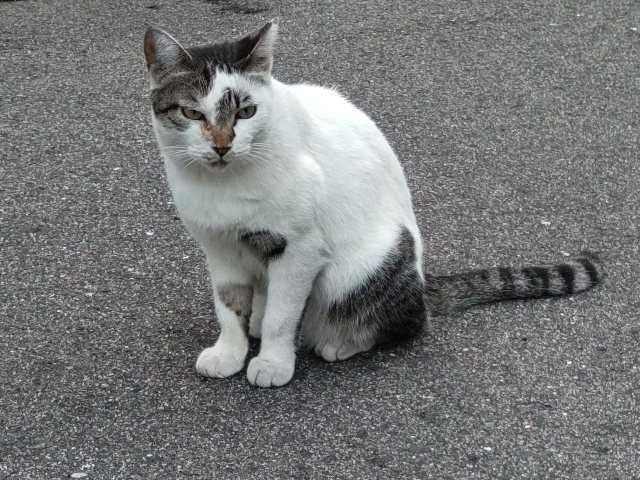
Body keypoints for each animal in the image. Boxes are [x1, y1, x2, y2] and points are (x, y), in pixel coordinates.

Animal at [143, 21, 604, 387]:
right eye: (192, 113)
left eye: (247, 112)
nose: (222, 146)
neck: (224, 186)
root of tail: (422, 279)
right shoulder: (218, 247)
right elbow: (228, 306)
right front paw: (229, 352)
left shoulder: (301, 248)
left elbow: (282, 316)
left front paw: (273, 363)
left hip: (364, 267)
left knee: (410, 321)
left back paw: (341, 342)